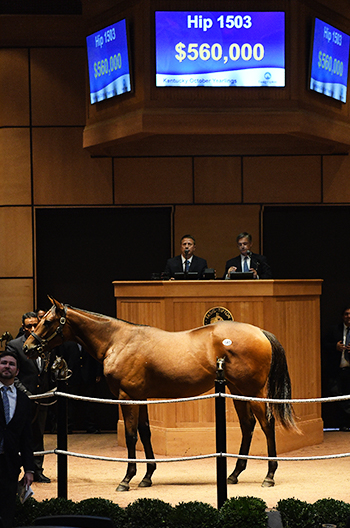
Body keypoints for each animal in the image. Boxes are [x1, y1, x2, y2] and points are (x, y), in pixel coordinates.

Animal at [23, 296, 296, 490]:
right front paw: (147, 476)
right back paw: (235, 473)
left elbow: (131, 436)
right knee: (248, 425)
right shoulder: (140, 397)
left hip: (253, 391)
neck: (117, 341)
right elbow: (145, 433)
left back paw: (270, 475)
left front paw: (127, 478)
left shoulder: (126, 397)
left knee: (267, 424)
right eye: (39, 321)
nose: (28, 347)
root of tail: (260, 332)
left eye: (47, 322)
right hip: (237, 392)